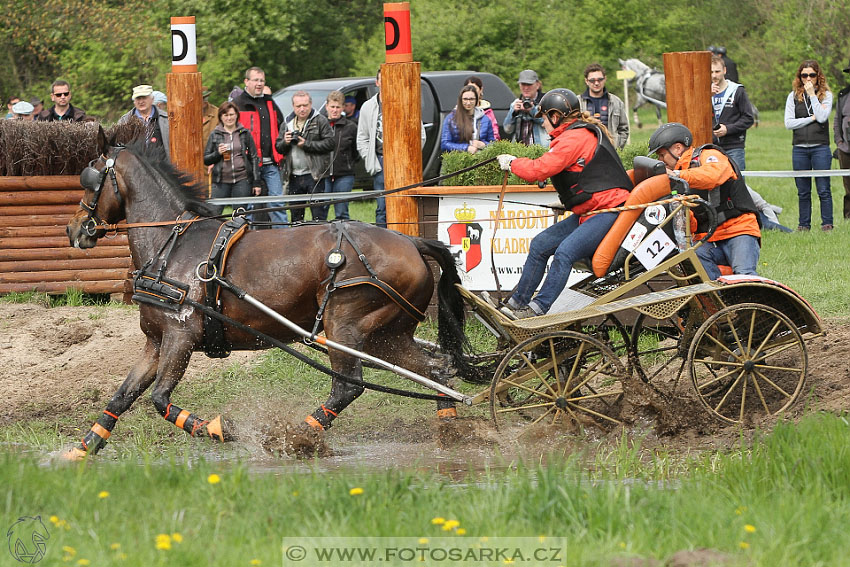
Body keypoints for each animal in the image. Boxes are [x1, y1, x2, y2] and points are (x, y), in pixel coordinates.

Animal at [63, 127, 468, 458]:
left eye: (90, 179)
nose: (75, 229)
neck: (171, 246)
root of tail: (412, 242)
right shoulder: (155, 341)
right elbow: (122, 396)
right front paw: (81, 450)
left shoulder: (180, 337)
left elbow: (159, 399)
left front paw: (217, 429)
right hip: (388, 337)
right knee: (437, 371)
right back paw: (451, 431)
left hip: (346, 326)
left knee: (347, 387)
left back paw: (295, 437)